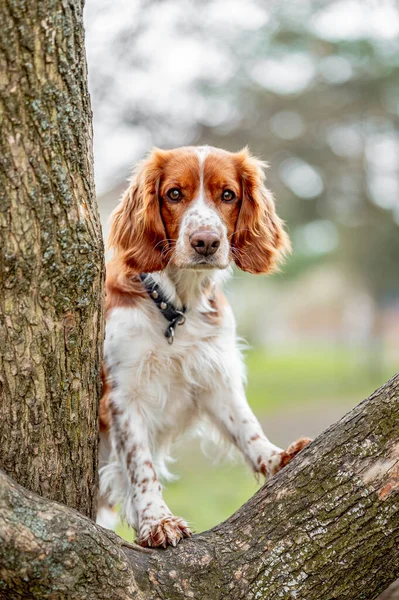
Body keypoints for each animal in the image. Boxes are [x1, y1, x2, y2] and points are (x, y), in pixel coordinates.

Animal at [98, 145, 310, 548]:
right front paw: (157, 520)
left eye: (227, 195)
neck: (175, 307)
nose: (206, 241)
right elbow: (141, 465)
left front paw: (276, 457)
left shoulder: (214, 374)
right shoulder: (123, 395)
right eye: (173, 194)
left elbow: (246, 424)